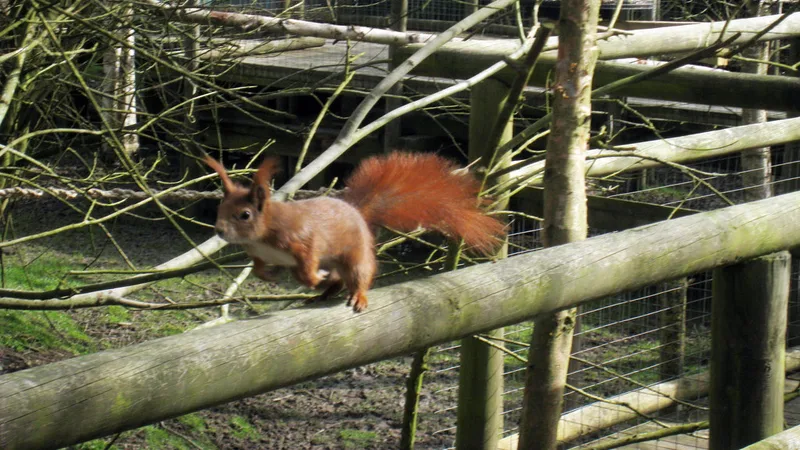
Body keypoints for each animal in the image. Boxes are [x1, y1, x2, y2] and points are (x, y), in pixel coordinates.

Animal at [204, 151, 505, 312]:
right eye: (220, 208)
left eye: (245, 215)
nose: (219, 230)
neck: (262, 235)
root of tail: (357, 213)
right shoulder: (259, 252)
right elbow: (257, 268)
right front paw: (267, 274)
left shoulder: (303, 240)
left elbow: (307, 266)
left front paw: (312, 277)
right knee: (338, 282)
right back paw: (324, 292)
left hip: (355, 257)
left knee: (359, 276)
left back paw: (353, 294)